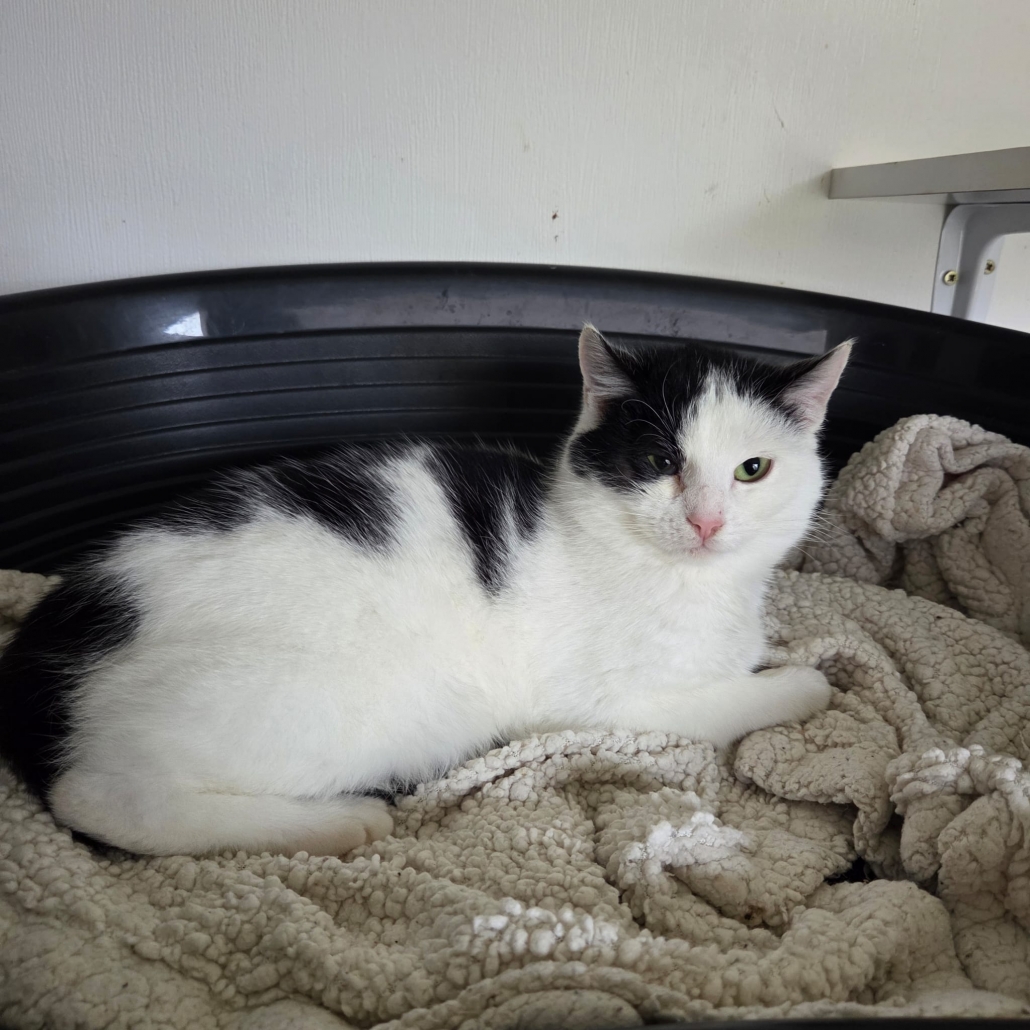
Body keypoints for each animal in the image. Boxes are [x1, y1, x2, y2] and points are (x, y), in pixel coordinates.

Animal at [0, 326, 851, 858]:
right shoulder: (611, 705)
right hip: (344, 701)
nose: (707, 521)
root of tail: (46, 644)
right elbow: (737, 699)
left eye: (751, 470)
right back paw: (336, 824)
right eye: (658, 461)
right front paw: (807, 683)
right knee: (98, 798)